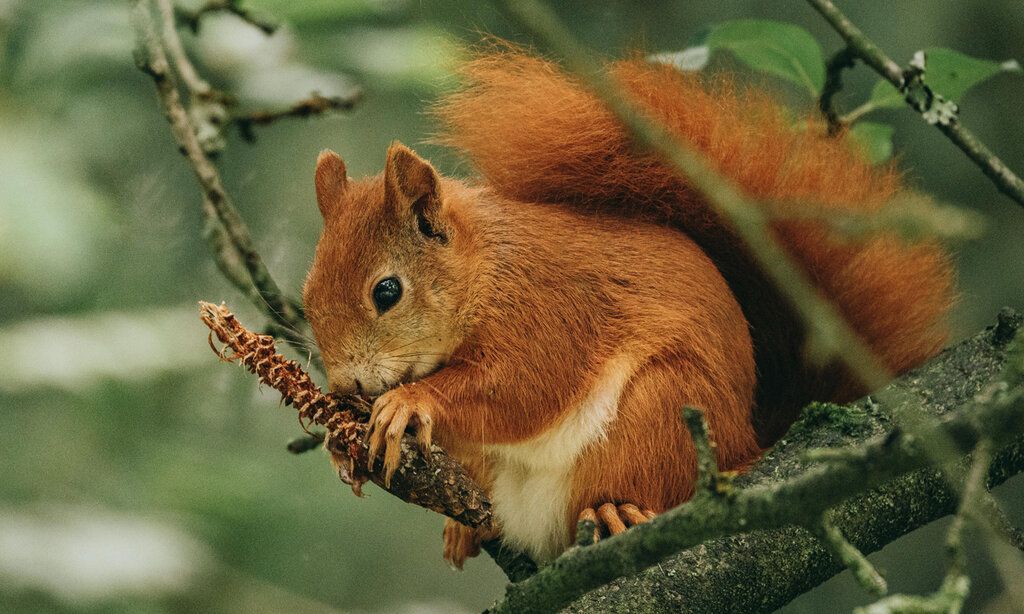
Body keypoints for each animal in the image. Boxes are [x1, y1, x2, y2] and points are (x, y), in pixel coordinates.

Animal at [301, 46, 954, 566]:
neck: (485, 272)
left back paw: (617, 510)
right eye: (306, 297)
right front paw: (341, 441)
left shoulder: (549, 312)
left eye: (387, 292)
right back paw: (464, 528)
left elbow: (522, 387)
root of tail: (748, 439)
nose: (347, 384)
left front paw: (409, 401)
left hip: (660, 412)